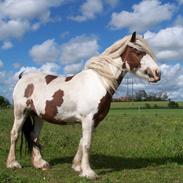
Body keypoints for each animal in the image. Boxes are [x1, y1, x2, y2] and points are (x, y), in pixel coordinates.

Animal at [6, 32, 160, 179]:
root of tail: (23, 76)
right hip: (21, 112)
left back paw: (40, 163)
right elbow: (87, 144)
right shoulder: (88, 119)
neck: (99, 82)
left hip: (38, 116)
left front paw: (77, 167)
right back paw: (13, 163)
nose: (157, 73)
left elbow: (82, 142)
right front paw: (88, 172)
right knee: (14, 134)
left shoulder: (94, 121)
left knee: (34, 136)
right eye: (138, 52)